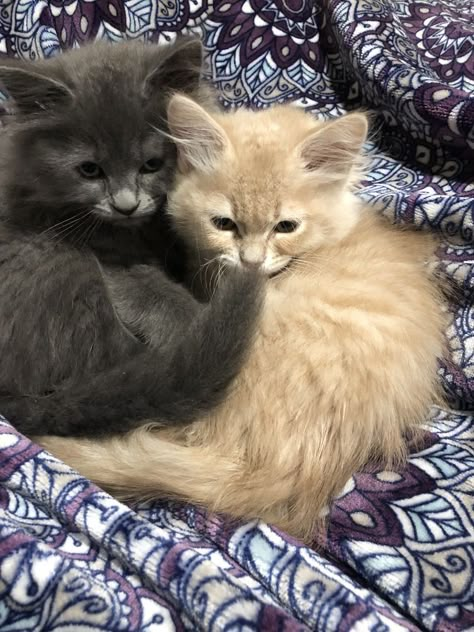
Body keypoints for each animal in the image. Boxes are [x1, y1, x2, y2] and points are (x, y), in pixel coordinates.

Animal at [0, 38, 262, 434]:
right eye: (89, 170)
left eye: (152, 164)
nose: (126, 205)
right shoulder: (107, 258)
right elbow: (157, 293)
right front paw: (194, 318)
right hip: (63, 264)